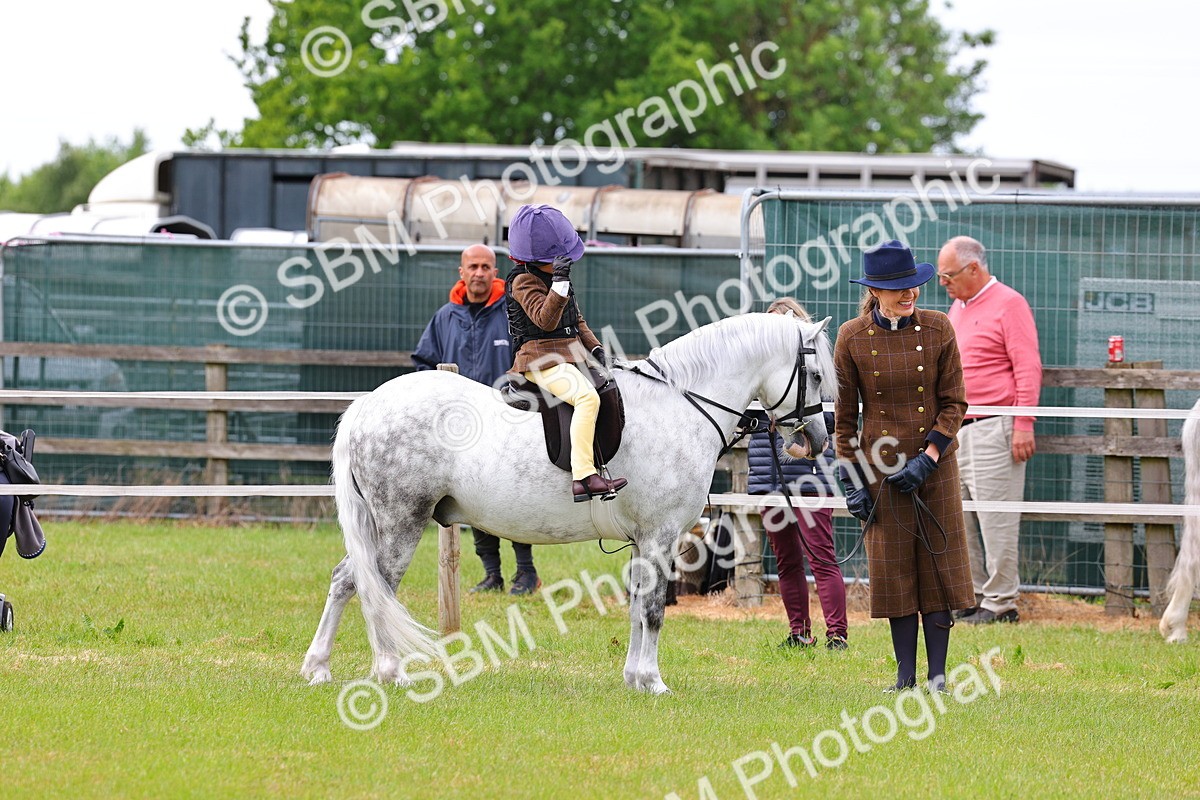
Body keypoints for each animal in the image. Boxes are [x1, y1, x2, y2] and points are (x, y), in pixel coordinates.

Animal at [300, 312, 835, 693]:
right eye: (813, 373)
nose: (816, 440)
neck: (680, 404)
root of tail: (369, 404)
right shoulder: (660, 536)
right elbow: (655, 609)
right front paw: (654, 682)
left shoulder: (644, 541)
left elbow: (637, 606)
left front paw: (634, 679)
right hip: (400, 522)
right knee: (375, 587)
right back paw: (390, 672)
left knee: (347, 579)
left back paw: (319, 668)